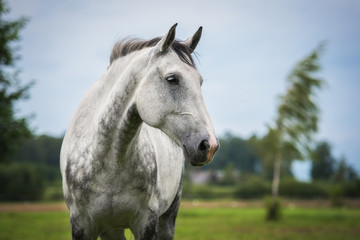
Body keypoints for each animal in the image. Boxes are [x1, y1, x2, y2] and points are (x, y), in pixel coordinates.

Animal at [59, 23, 219, 240]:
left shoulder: (146, 223)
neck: (110, 162)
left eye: (200, 81)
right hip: (111, 228)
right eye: (172, 79)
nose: (209, 145)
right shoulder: (81, 225)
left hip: (167, 216)